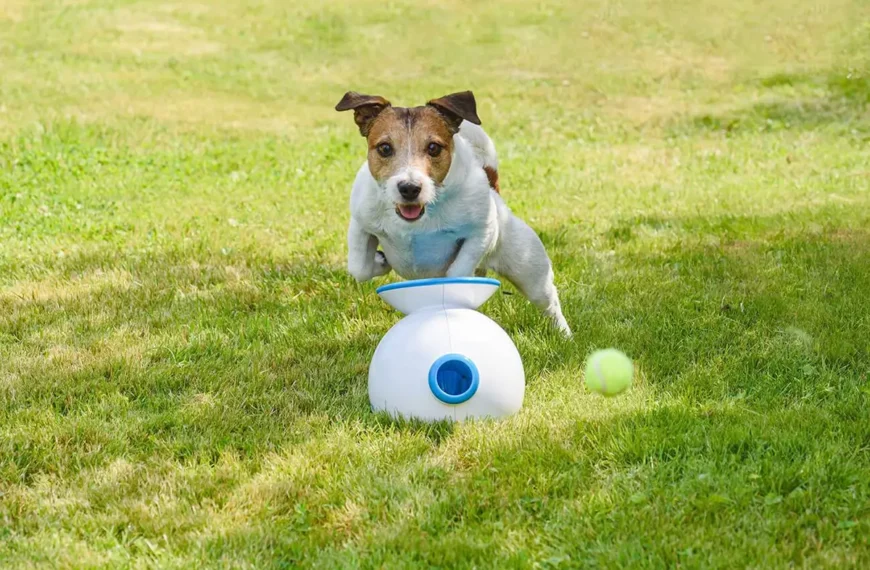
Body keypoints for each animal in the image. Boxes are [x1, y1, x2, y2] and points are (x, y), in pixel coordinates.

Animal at [338, 90, 576, 336]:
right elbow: (359, 267)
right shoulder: (360, 225)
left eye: (433, 147)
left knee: (549, 302)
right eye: (385, 148)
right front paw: (380, 261)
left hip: (529, 270)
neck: (417, 222)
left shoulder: (482, 232)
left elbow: (457, 272)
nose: (409, 188)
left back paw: (564, 335)